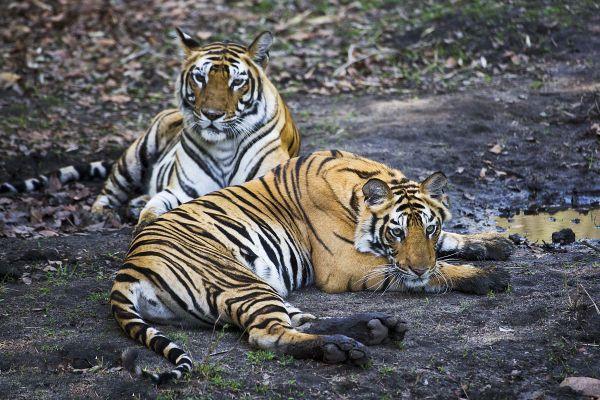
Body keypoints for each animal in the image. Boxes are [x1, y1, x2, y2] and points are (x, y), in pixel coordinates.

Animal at [0, 28, 300, 225]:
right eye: (200, 77)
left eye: (237, 82)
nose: (211, 115)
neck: (224, 145)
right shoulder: (182, 191)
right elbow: (156, 209)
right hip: (138, 153)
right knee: (110, 189)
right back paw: (101, 213)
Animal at [110, 149, 512, 384]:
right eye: (396, 232)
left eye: (429, 227)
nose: (418, 268)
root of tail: (128, 269)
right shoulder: (347, 265)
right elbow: (427, 270)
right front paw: (487, 276)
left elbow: (445, 246)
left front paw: (493, 242)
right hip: (239, 280)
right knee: (268, 334)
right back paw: (345, 348)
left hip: (253, 285)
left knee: (300, 320)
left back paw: (374, 328)